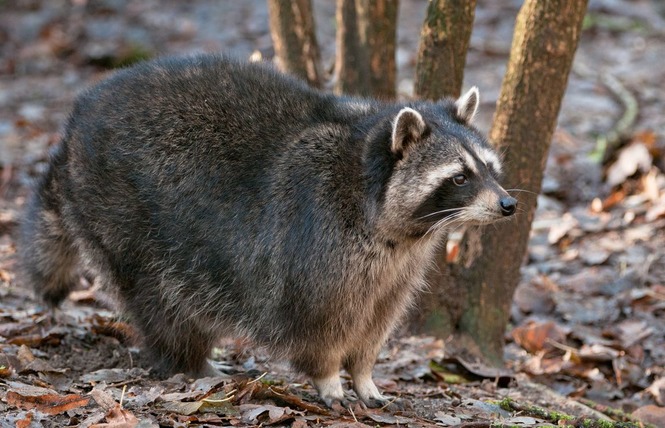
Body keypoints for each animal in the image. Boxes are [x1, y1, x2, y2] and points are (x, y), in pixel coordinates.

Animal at [15, 54, 512, 408]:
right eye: (459, 178)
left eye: (489, 167)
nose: (509, 204)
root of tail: (73, 128)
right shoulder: (319, 241)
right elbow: (318, 323)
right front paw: (330, 376)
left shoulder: (396, 270)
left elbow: (375, 323)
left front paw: (364, 373)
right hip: (122, 206)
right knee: (162, 299)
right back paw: (189, 361)